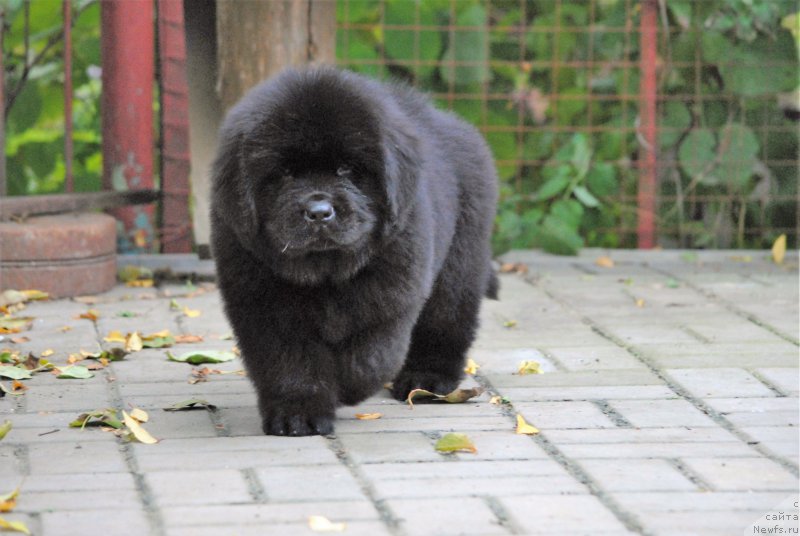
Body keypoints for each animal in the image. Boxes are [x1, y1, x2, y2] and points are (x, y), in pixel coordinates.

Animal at [212, 68, 500, 436]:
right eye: (285, 174)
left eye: (347, 169)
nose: (319, 212)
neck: (326, 273)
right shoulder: (265, 307)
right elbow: (290, 364)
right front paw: (297, 416)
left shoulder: (392, 294)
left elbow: (369, 356)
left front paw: (346, 388)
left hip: (458, 265)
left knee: (446, 321)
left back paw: (427, 380)